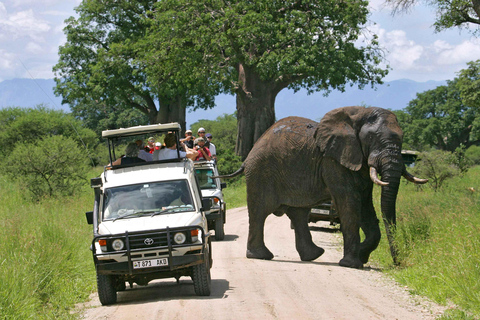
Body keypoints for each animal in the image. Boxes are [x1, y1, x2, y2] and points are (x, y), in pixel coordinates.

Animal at [218, 106, 428, 268]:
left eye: (402, 137)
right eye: (371, 138)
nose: (397, 263)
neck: (358, 114)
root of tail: (248, 155)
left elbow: (366, 206)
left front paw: (361, 256)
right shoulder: (333, 162)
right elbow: (350, 204)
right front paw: (352, 264)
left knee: (298, 213)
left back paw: (314, 255)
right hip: (261, 172)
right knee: (260, 212)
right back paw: (261, 256)